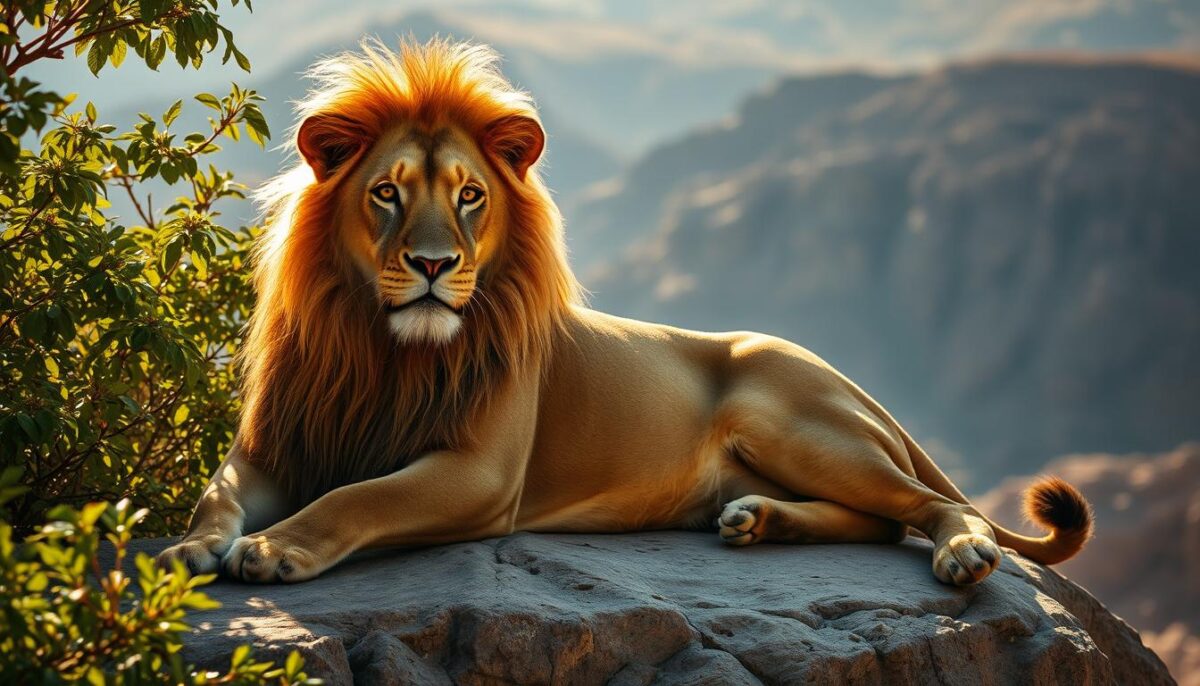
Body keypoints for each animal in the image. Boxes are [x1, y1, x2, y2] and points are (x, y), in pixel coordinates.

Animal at [157, 39, 1092, 586]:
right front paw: (189, 548)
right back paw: (754, 522)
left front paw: (272, 548)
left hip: (796, 424)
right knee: (877, 521)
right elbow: (215, 494)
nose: (432, 265)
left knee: (927, 507)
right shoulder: (277, 443)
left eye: (468, 196)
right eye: (387, 193)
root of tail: (859, 389)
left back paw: (962, 551)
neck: (383, 346)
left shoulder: (480, 474)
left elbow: (359, 500)